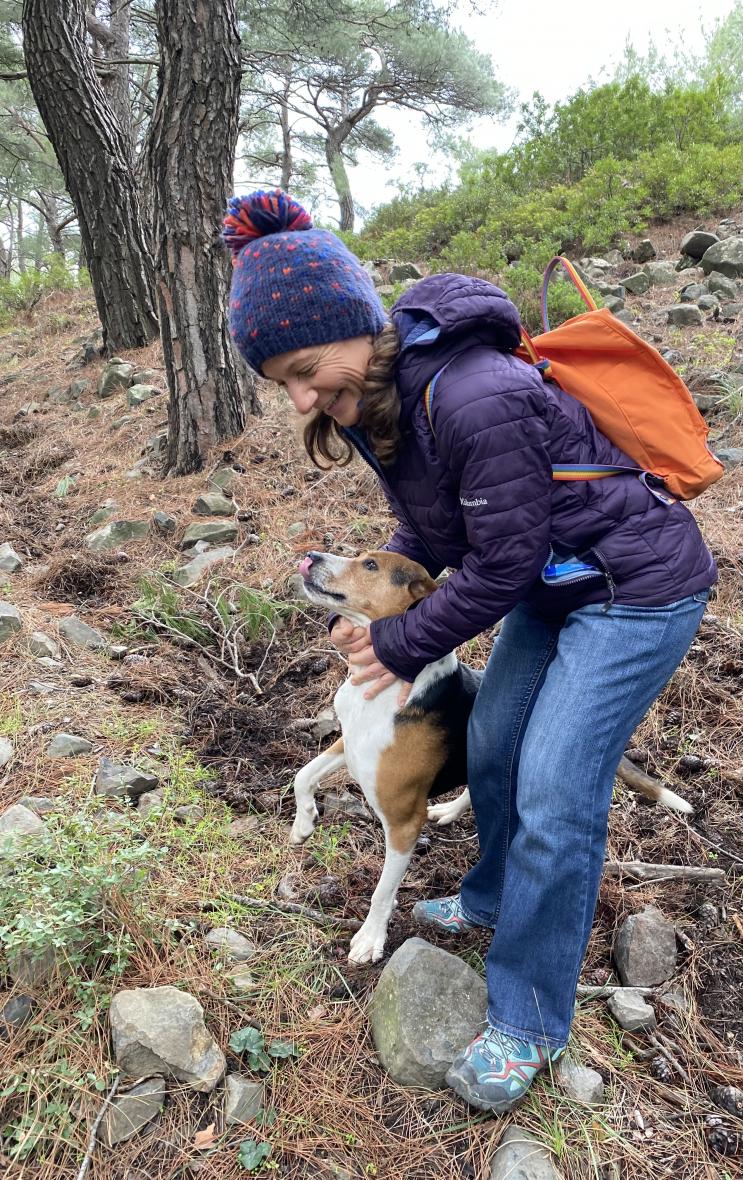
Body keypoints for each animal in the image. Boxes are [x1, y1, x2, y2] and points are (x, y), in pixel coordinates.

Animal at [293, 547, 698, 962]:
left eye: (371, 565)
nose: (311, 555)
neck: (388, 687)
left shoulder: (404, 822)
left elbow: (382, 891)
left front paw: (371, 938)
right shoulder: (348, 745)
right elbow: (303, 775)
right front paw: (303, 824)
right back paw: (449, 809)